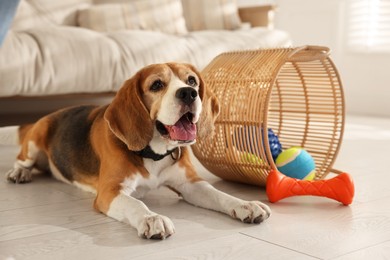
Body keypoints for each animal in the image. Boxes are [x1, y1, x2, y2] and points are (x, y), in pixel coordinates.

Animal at [2, 63, 272, 240]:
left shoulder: (191, 185)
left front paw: (246, 204)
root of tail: (51, 114)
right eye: (157, 85)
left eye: (192, 80)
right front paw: (152, 218)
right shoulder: (110, 192)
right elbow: (136, 204)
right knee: (21, 160)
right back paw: (19, 173)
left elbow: (220, 195)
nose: (189, 93)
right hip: (35, 140)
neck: (154, 152)